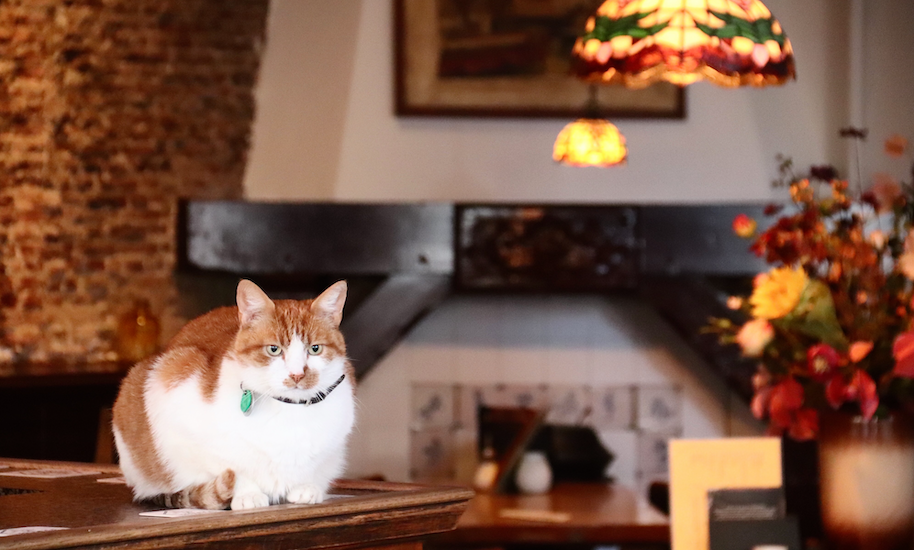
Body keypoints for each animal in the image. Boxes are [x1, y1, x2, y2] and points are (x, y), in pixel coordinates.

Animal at [112, 282, 354, 512]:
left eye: (315, 349)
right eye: (274, 350)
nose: (297, 375)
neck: (290, 412)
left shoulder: (334, 446)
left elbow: (316, 467)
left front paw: (306, 486)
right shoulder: (176, 397)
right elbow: (231, 467)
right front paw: (248, 493)